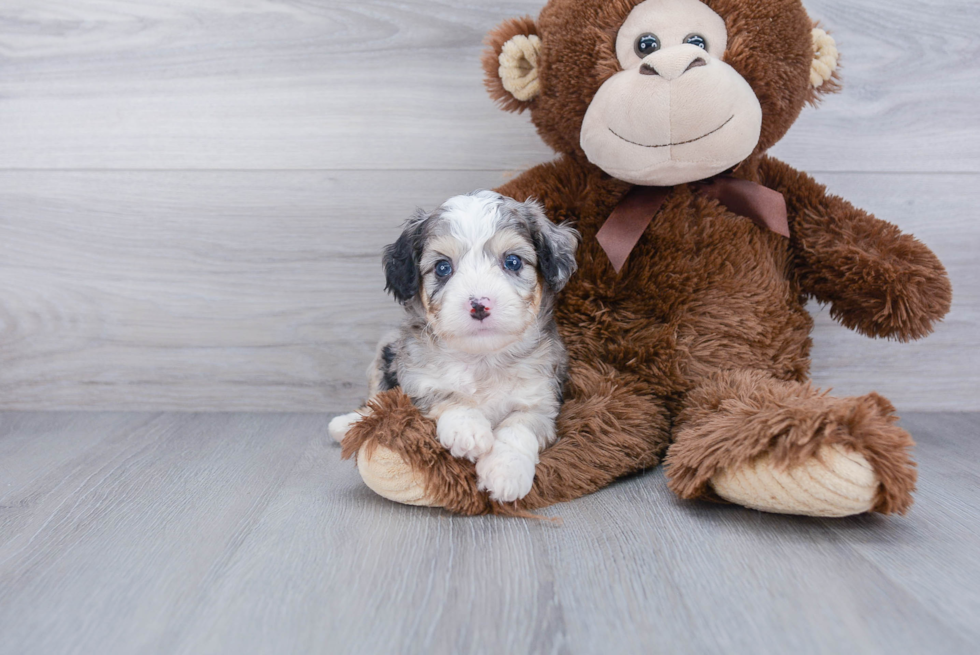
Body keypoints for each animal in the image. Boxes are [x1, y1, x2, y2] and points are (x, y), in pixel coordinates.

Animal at [330, 190, 580, 502]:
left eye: (512, 261)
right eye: (442, 267)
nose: (479, 305)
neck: (483, 359)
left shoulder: (541, 402)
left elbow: (518, 428)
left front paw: (505, 473)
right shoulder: (417, 383)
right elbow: (448, 397)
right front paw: (469, 431)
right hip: (384, 353)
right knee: (374, 401)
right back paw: (344, 424)